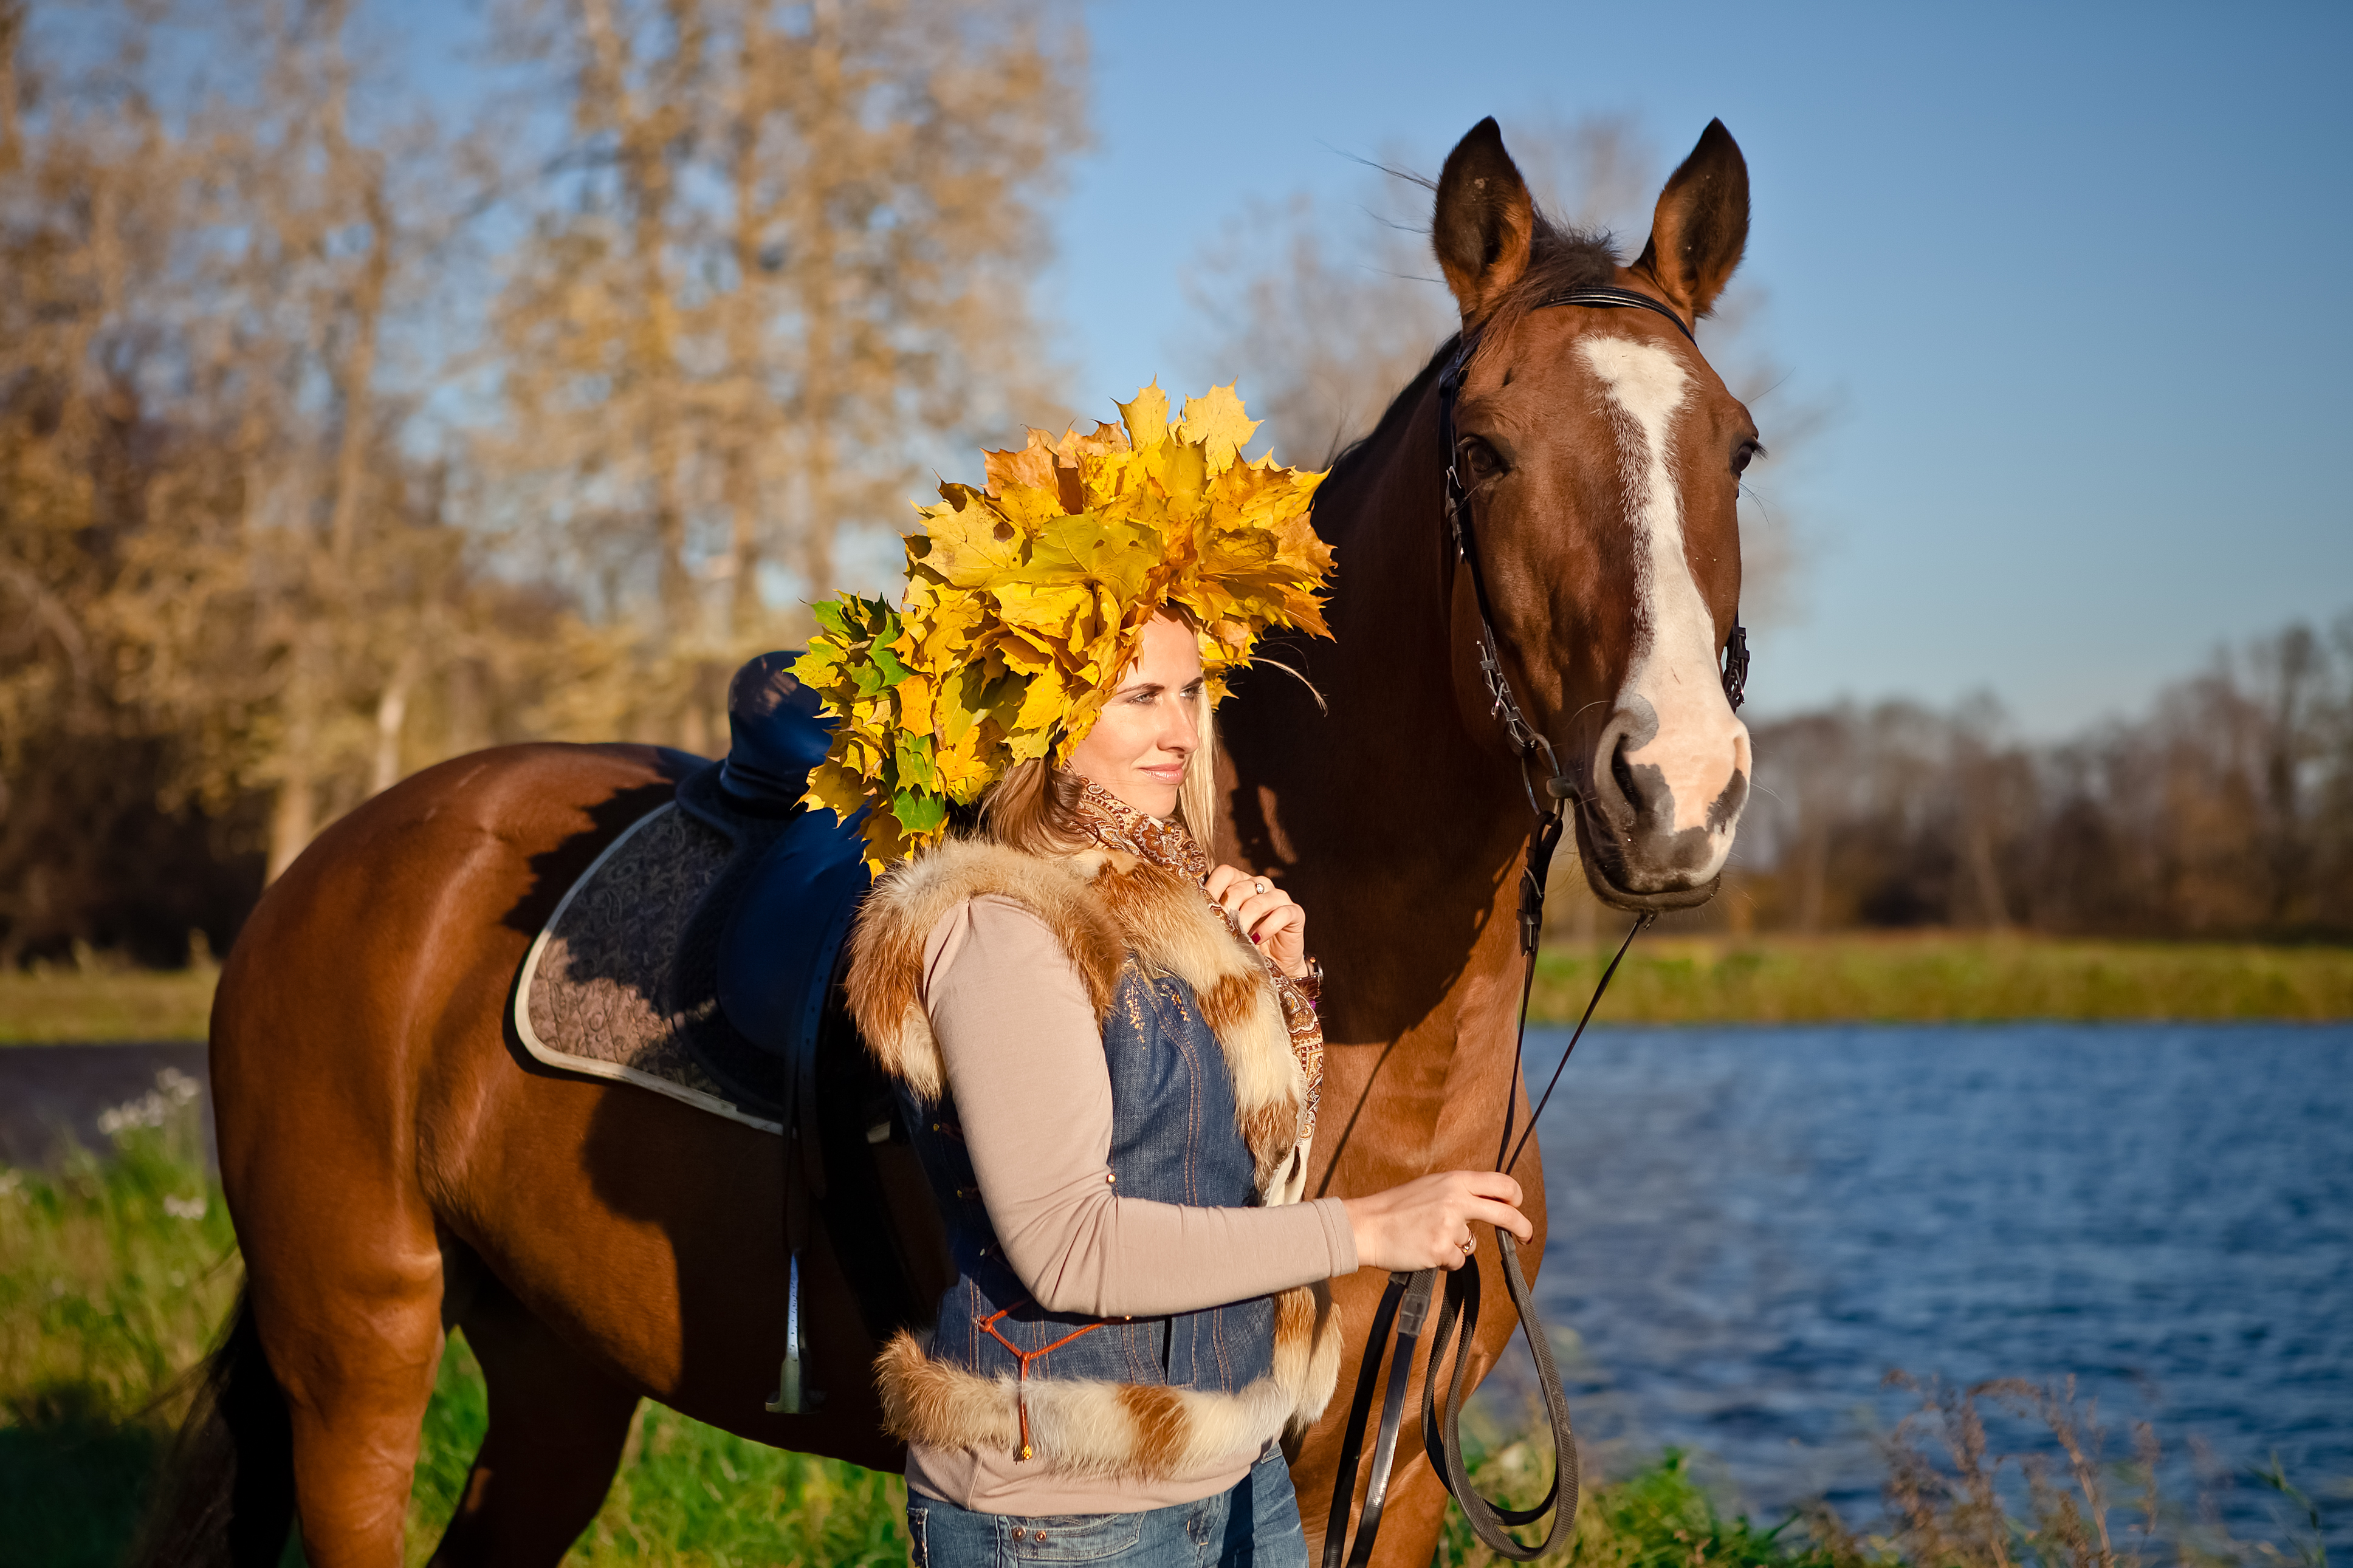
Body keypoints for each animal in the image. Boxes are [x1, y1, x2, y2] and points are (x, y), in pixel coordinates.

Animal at [147, 113, 1760, 1568]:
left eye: (1736, 449)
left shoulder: (1397, 1479)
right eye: (1483, 451)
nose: (1676, 783)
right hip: (359, 1349)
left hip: (560, 1372)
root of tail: (341, 861)